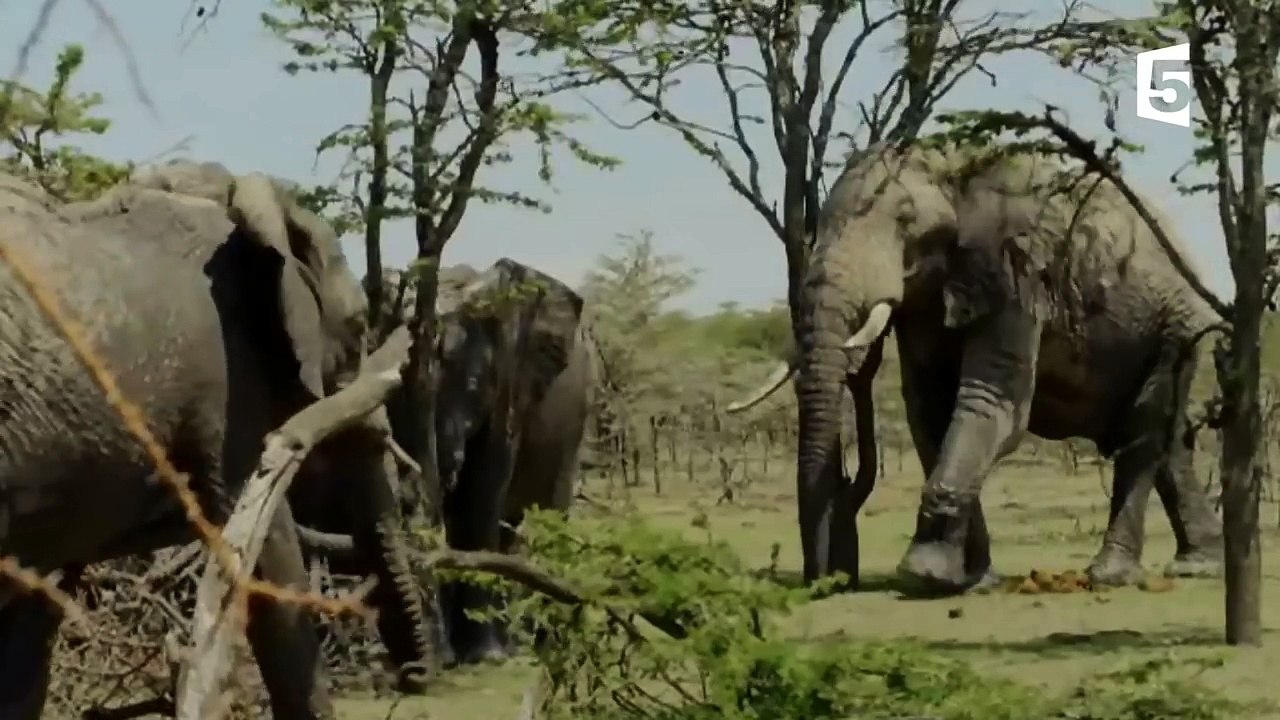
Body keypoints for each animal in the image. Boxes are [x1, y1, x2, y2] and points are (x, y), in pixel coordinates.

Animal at [728, 142, 1224, 595]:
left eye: (906, 222)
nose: (825, 581)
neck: (954, 166)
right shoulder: (929, 299)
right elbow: (930, 410)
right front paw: (972, 580)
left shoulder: (1017, 274)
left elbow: (991, 403)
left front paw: (922, 574)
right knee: (1169, 442)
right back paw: (1197, 566)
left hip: (1175, 330)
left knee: (1144, 432)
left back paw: (1110, 576)